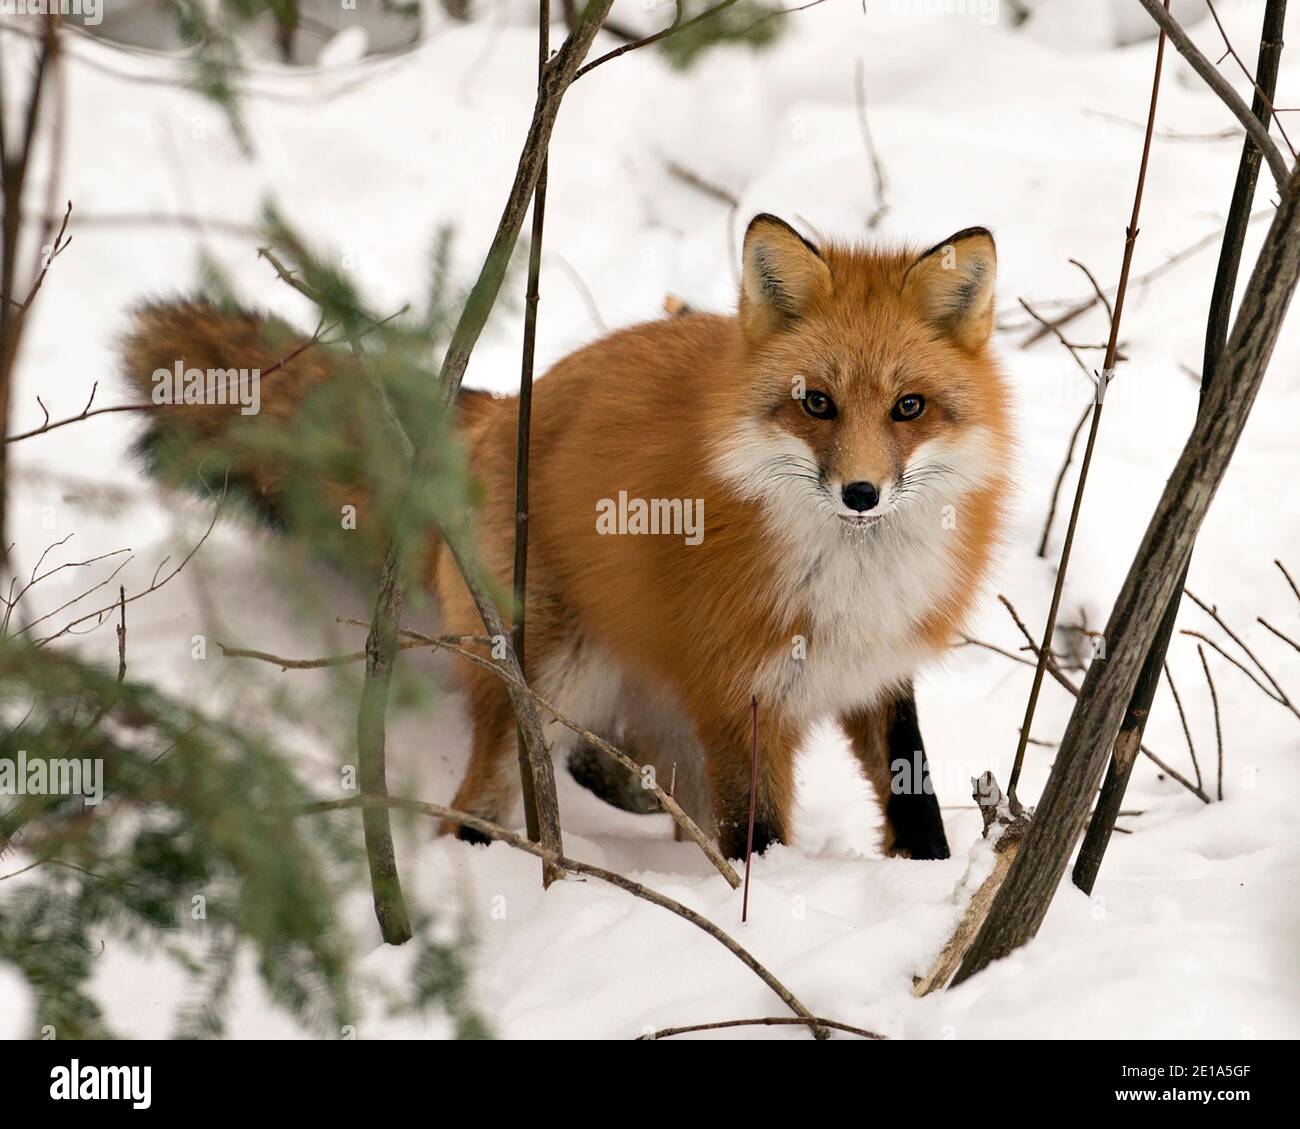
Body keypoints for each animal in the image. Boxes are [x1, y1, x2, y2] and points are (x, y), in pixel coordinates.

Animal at [122, 214, 1011, 862]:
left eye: (909, 407)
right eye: (816, 403)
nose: (861, 493)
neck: (850, 580)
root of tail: (505, 405)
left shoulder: (878, 670)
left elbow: (914, 793)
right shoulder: (736, 695)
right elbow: (754, 836)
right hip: (547, 683)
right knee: (476, 808)